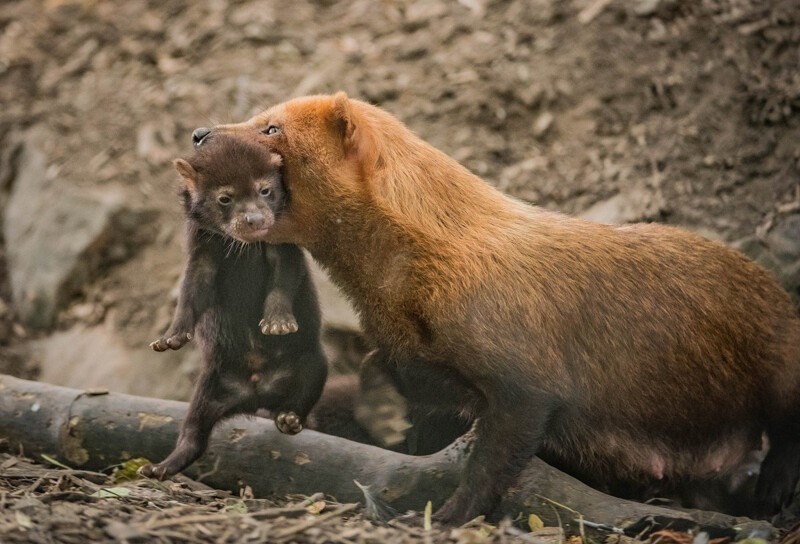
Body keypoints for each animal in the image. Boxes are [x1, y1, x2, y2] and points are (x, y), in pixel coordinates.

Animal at [139, 136, 326, 480]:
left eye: (265, 190)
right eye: (225, 198)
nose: (255, 220)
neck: (244, 248)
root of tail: (256, 394)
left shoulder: (285, 250)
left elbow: (282, 283)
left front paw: (277, 323)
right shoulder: (201, 253)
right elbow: (189, 295)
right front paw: (171, 338)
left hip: (313, 362)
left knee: (303, 399)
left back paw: (289, 419)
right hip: (208, 389)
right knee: (192, 436)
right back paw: (158, 468)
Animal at [202, 92, 800, 524]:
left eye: (272, 127)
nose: (199, 132)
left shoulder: (525, 381)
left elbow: (492, 461)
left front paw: (446, 517)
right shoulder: (423, 366)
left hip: (776, 356)